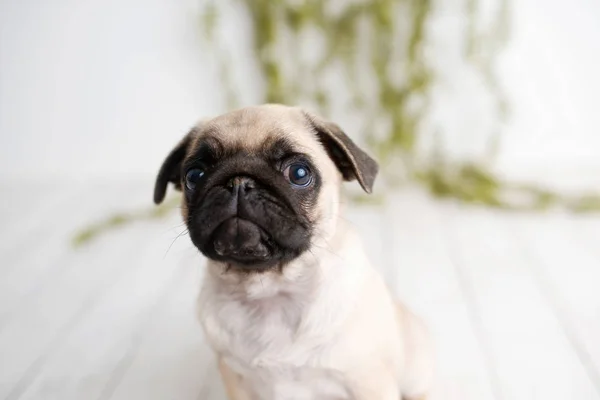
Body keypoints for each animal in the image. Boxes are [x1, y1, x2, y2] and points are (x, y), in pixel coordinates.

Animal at [154, 104, 432, 398]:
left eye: (298, 173)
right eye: (194, 176)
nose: (239, 182)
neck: (269, 290)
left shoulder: (367, 382)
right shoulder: (235, 380)